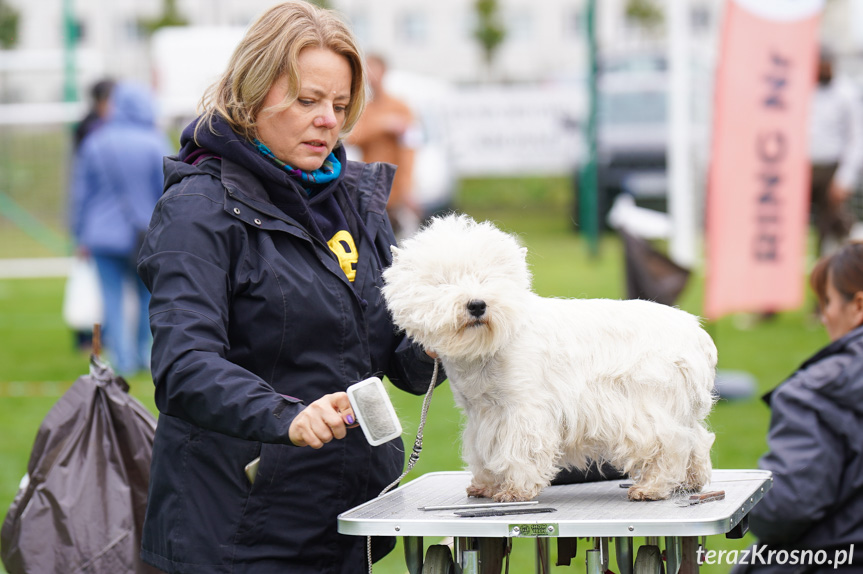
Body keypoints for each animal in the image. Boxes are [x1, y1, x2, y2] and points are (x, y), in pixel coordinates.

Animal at [382, 216, 720, 504]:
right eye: (443, 282)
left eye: (489, 278)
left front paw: (515, 490)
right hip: (680, 407)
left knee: (668, 445)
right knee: (697, 439)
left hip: (648, 406)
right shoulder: (481, 413)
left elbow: (519, 450)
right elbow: (483, 450)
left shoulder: (523, 409)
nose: (477, 305)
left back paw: (650, 489)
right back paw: (690, 481)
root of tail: (697, 334)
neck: (490, 346)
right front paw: (485, 485)